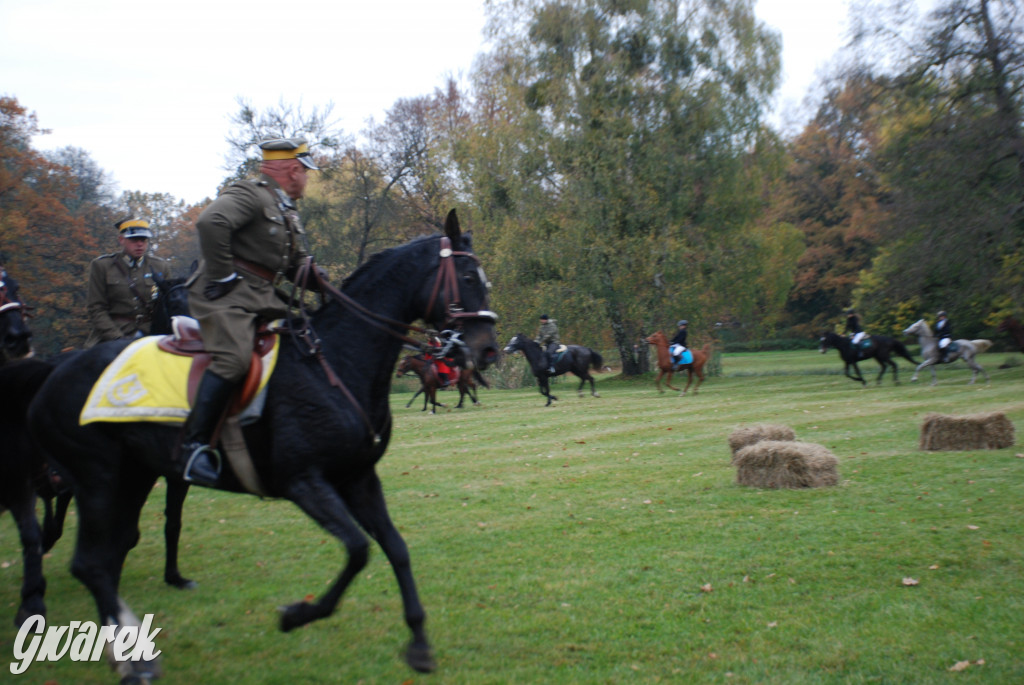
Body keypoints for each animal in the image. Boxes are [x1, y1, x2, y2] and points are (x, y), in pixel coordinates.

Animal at [25, 210, 497, 679]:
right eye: (467, 276)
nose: (488, 350)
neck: (332, 363)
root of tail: (51, 379)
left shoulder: (359, 478)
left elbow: (396, 548)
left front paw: (418, 642)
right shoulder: (304, 482)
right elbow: (359, 550)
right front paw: (297, 615)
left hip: (133, 476)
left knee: (109, 555)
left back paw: (121, 646)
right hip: (99, 481)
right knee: (91, 563)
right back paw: (133, 659)